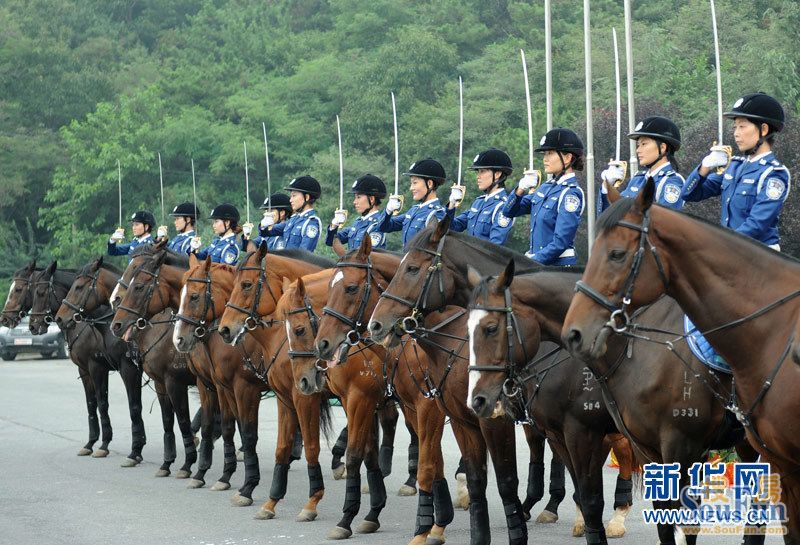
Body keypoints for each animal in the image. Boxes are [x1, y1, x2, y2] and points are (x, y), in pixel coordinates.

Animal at [28, 262, 147, 466]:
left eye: (41, 293)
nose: (33, 326)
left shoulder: (114, 368)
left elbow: (118, 404)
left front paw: (122, 448)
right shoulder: (85, 369)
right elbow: (92, 403)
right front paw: (91, 443)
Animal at [468, 260, 764, 544]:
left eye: (491, 328)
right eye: (468, 329)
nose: (478, 400)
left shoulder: (589, 432)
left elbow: (593, 500)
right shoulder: (562, 435)